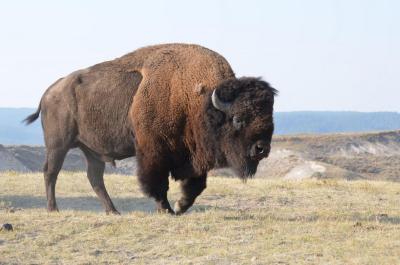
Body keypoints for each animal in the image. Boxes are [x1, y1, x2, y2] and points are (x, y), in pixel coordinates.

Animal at [24, 42, 276, 213]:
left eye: (270, 116)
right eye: (238, 119)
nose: (261, 148)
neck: (197, 99)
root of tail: (50, 90)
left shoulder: (193, 155)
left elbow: (196, 185)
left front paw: (180, 206)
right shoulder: (154, 151)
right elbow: (157, 183)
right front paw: (166, 208)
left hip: (92, 151)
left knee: (95, 178)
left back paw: (113, 211)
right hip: (58, 145)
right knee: (51, 172)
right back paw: (53, 208)